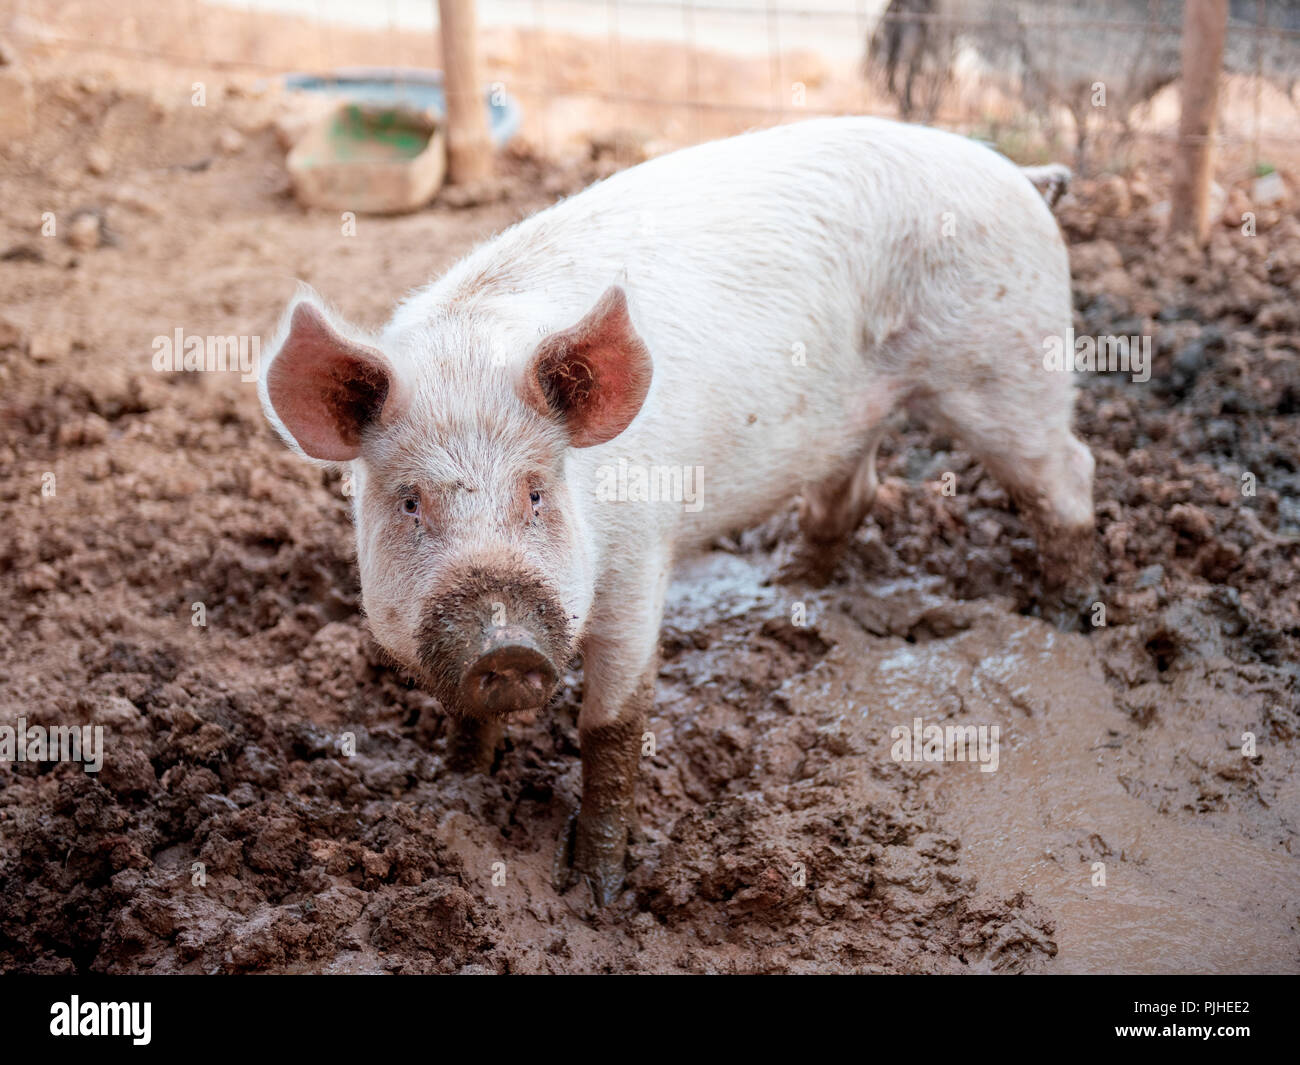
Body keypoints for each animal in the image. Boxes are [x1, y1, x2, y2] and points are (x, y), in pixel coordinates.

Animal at [259, 116, 1094, 905]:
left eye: (537, 490)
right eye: (410, 501)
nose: (507, 646)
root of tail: (1021, 174)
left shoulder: (640, 556)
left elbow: (613, 724)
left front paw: (600, 890)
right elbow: (466, 714)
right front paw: (457, 786)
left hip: (1010, 364)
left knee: (1068, 473)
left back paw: (1071, 616)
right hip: (861, 413)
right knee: (853, 490)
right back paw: (792, 585)